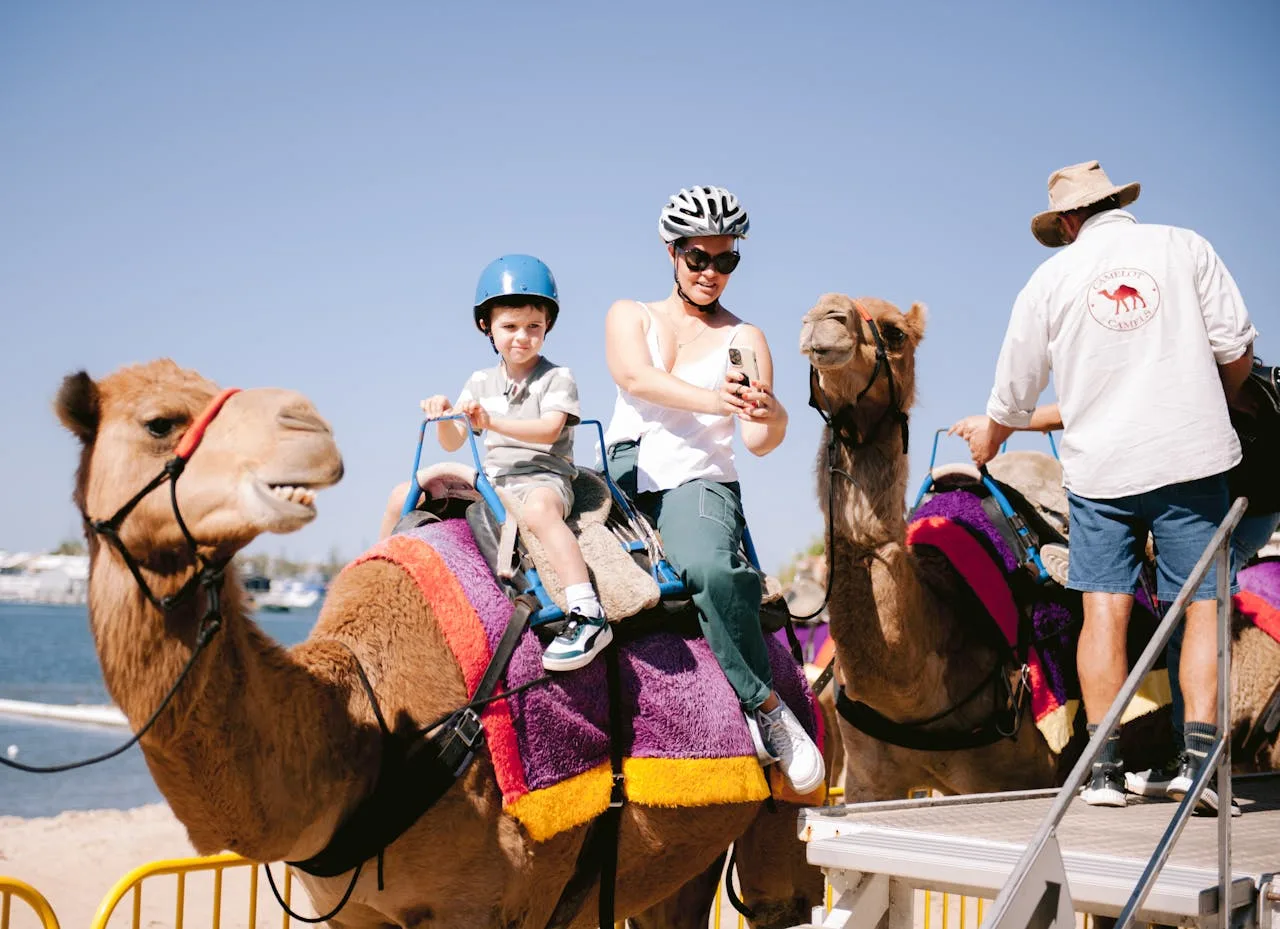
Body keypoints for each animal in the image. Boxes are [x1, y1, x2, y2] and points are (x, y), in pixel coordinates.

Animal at [52, 358, 819, 929]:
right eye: (160, 423)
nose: (306, 424)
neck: (372, 723)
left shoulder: (490, 902)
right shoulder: (352, 913)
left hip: (785, 818)